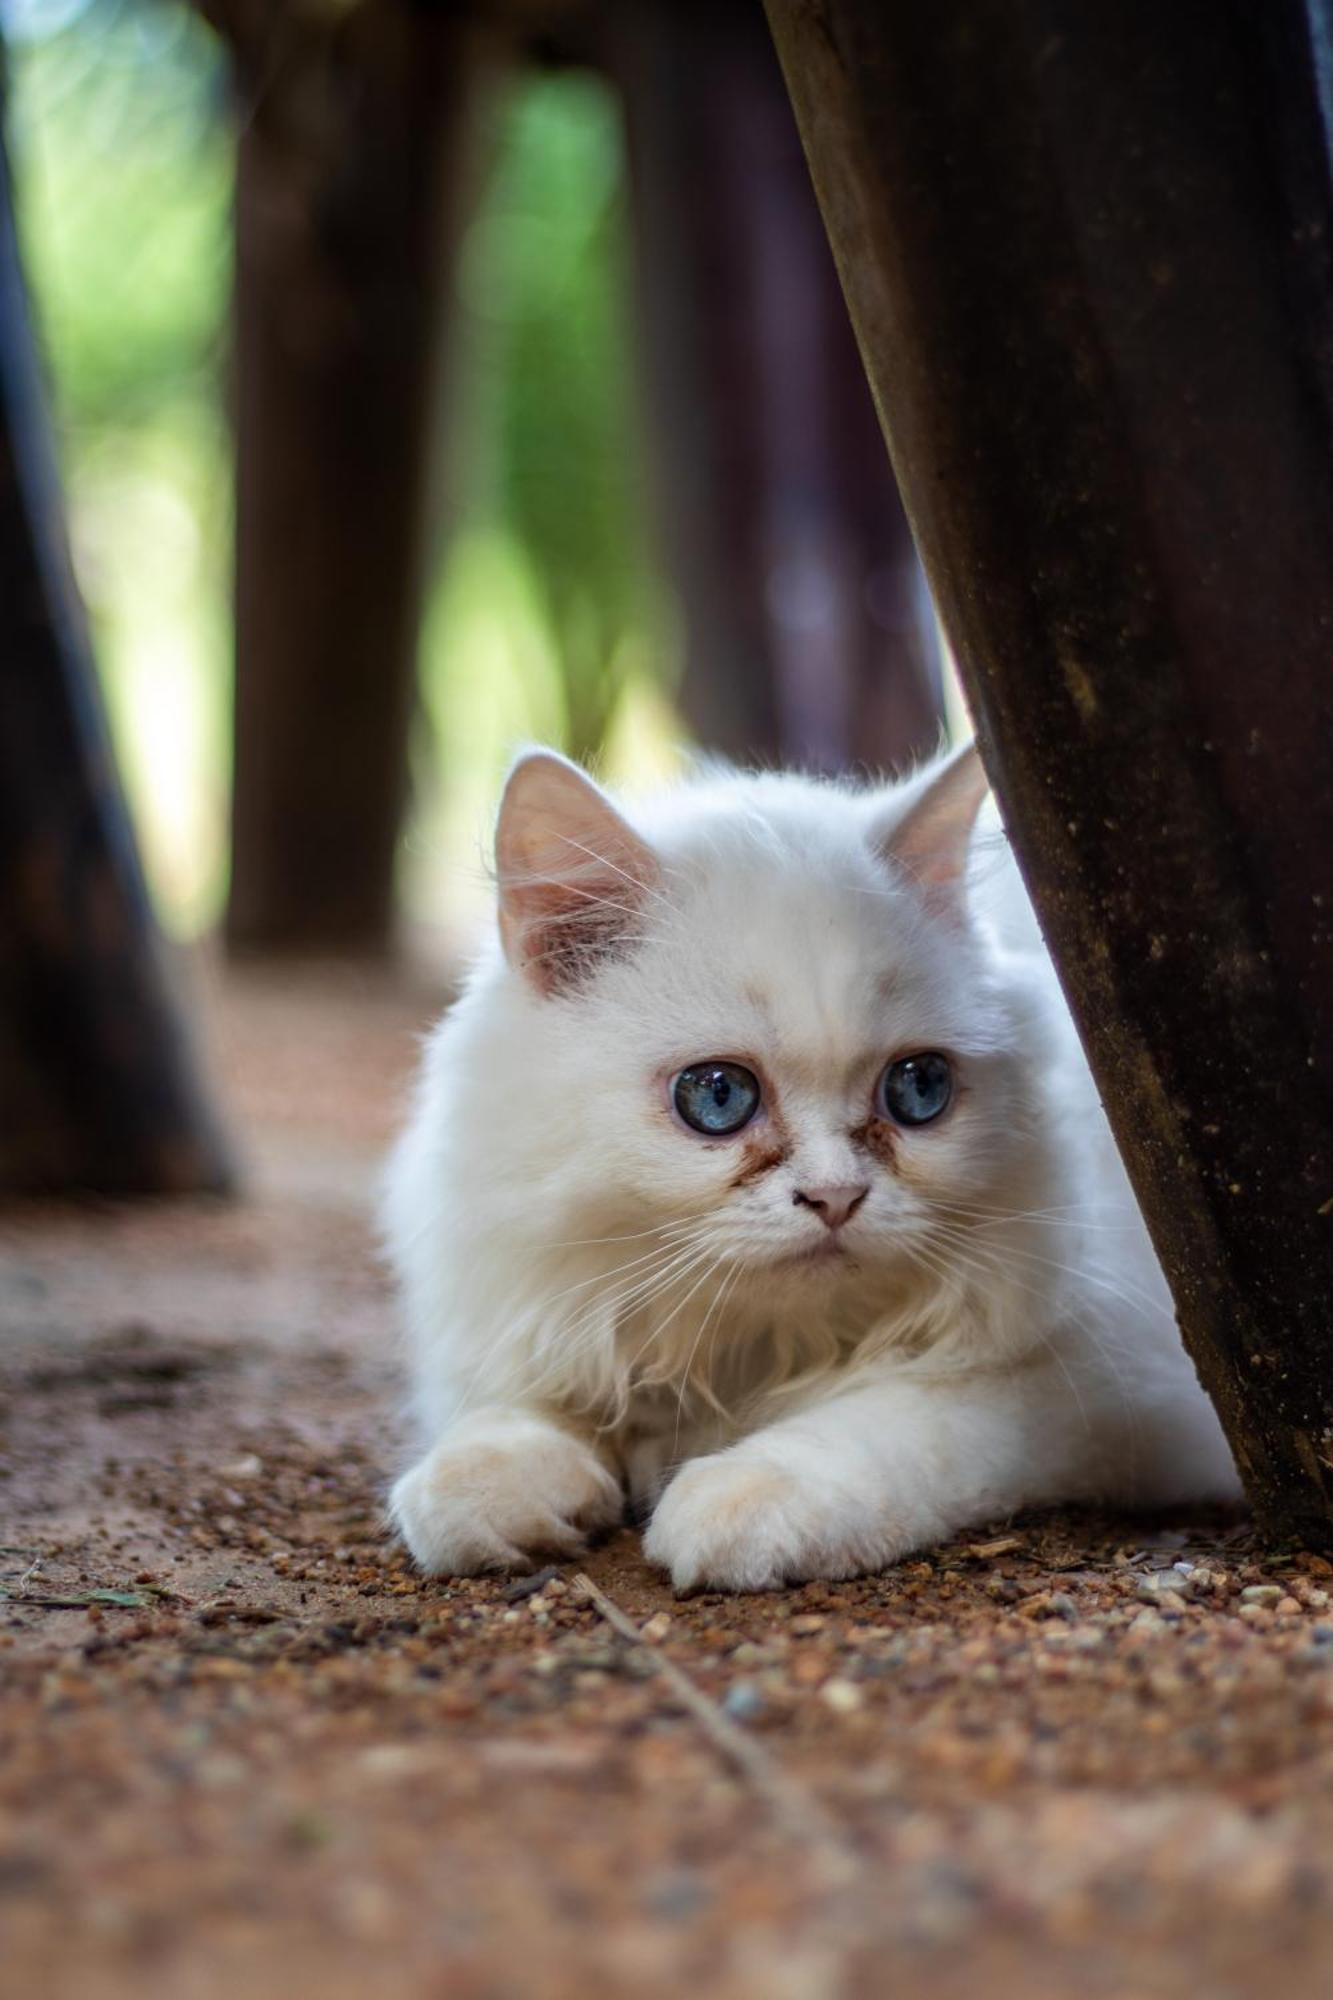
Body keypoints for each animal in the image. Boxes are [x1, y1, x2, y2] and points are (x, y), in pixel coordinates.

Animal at [384, 744, 1232, 1584]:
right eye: (717, 1096)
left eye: (918, 1088)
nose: (835, 1197)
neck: (748, 1354)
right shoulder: (514, 1324)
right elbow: (498, 1424)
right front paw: (487, 1495)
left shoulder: (1114, 1385)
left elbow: (902, 1419)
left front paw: (738, 1499)